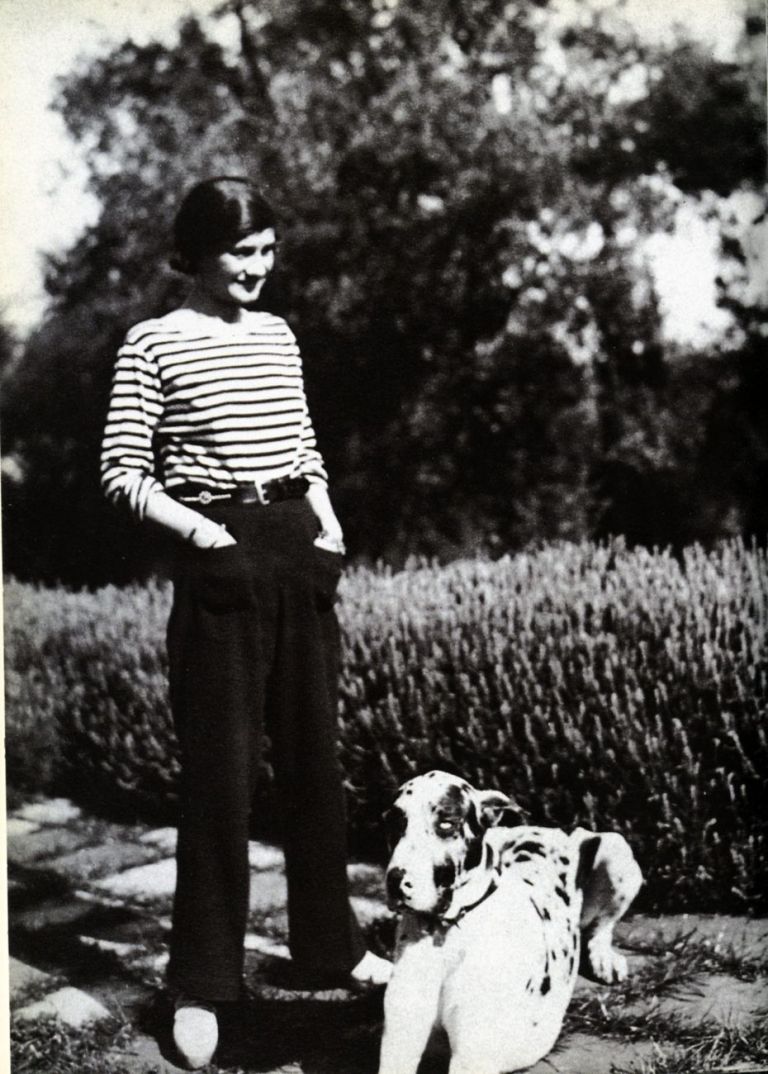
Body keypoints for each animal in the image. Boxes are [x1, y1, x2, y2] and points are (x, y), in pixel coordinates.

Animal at [378, 773, 644, 1074]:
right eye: (393, 823)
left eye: (446, 823)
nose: (395, 880)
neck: (447, 934)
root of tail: (551, 829)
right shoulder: (400, 1041)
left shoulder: (471, 1057)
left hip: (616, 848)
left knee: (600, 927)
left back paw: (604, 959)